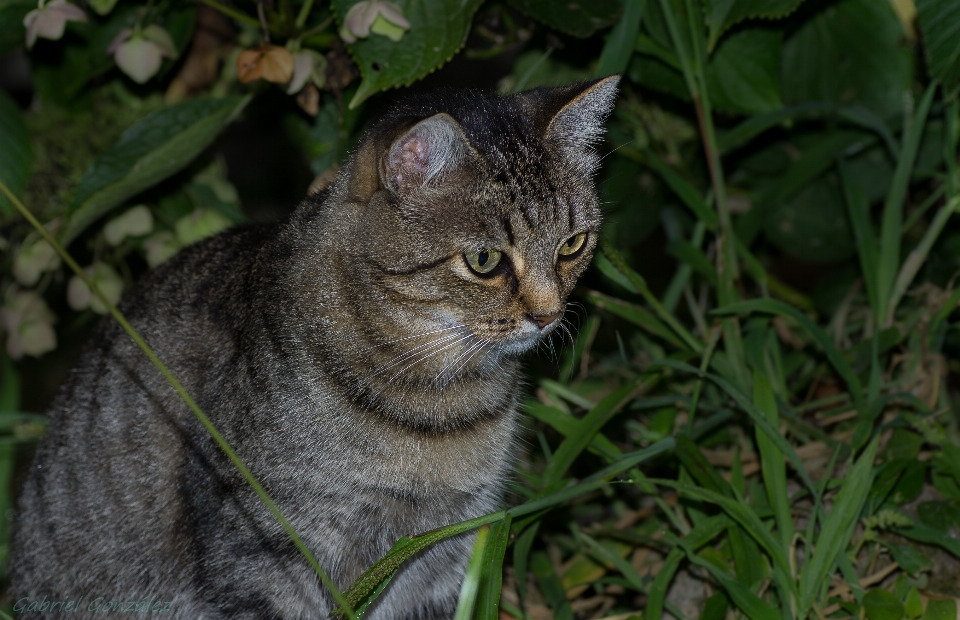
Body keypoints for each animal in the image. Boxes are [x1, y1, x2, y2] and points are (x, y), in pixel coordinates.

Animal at [7, 75, 620, 616]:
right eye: (484, 260)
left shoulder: (444, 552)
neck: (440, 407)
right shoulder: (267, 551)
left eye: (572, 244)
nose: (548, 314)